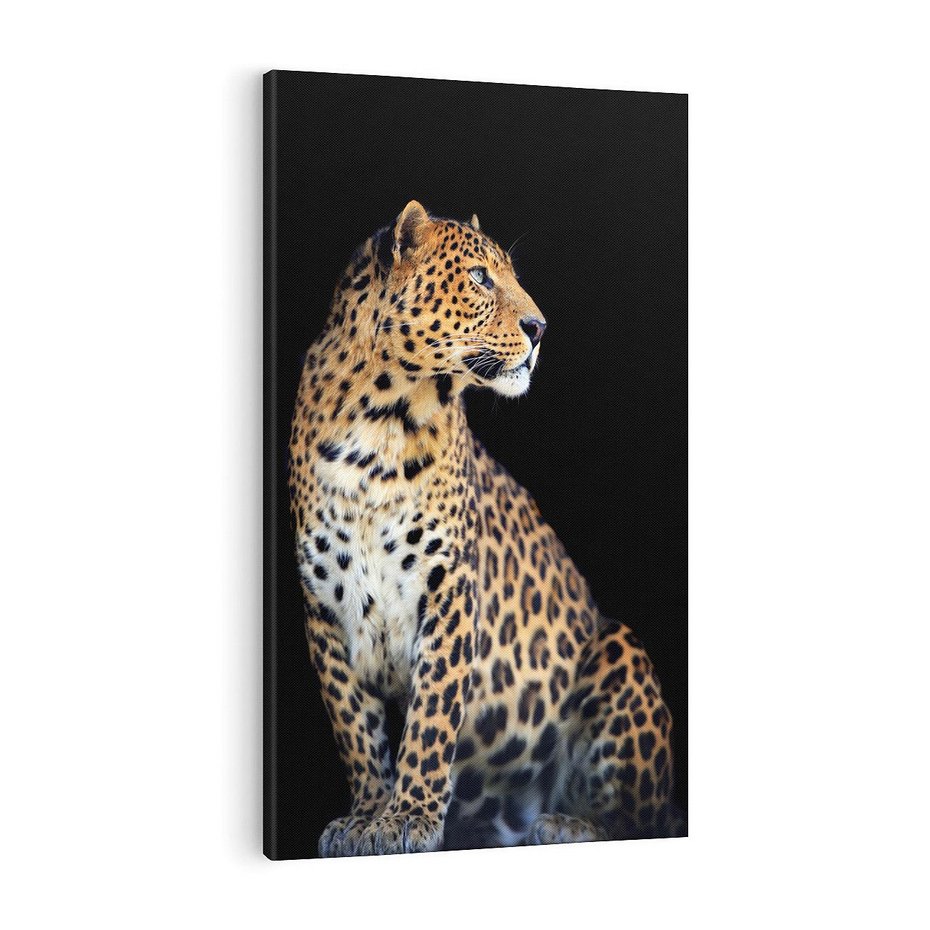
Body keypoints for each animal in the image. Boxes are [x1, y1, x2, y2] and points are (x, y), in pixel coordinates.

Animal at [288, 200, 685, 855]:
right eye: (479, 278)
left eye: (510, 276)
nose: (540, 328)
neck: (380, 421)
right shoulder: (323, 602)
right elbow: (355, 726)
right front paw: (367, 816)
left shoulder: (449, 585)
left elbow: (431, 713)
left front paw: (408, 818)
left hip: (618, 648)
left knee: (643, 820)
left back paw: (567, 825)